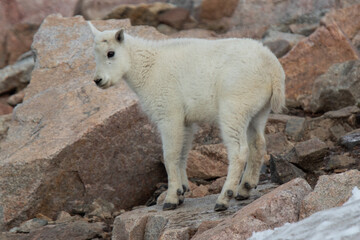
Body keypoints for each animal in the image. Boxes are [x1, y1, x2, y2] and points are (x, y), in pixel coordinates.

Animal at [88, 22, 286, 210]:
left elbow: (170, 155)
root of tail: (274, 69)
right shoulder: (186, 121)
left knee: (239, 151)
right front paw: (182, 191)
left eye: (111, 53)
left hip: (234, 107)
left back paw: (224, 198)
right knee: (258, 144)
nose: (98, 80)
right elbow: (182, 153)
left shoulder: (169, 114)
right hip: (258, 111)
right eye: (95, 54)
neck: (147, 68)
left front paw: (171, 198)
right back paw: (245, 188)